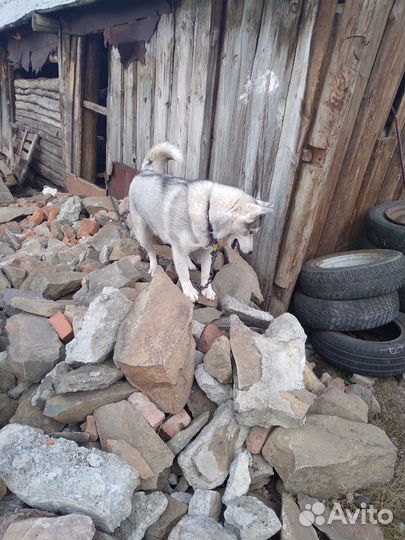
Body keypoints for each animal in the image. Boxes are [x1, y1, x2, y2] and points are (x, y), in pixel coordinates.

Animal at [128, 143, 270, 302]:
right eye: (251, 232)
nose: (251, 252)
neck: (207, 210)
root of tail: (146, 172)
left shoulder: (207, 251)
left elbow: (206, 272)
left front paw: (207, 289)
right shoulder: (179, 248)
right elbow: (183, 274)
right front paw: (189, 290)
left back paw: (189, 263)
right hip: (143, 234)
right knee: (152, 251)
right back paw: (153, 266)